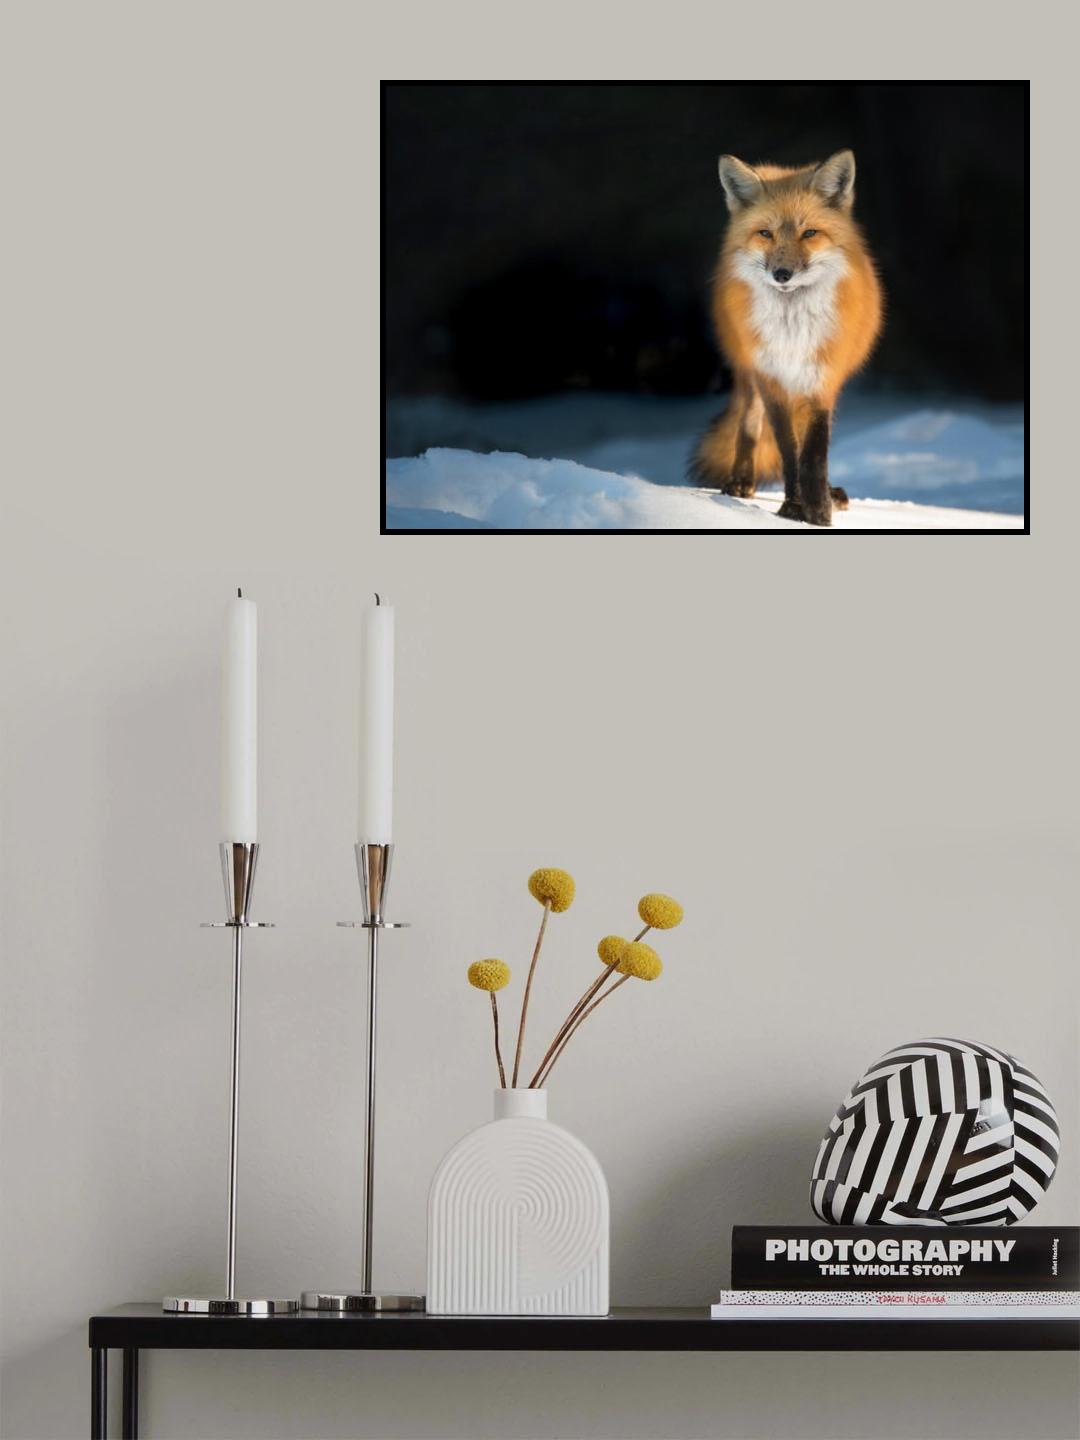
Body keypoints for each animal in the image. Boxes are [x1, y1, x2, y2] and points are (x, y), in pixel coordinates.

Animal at [690, 149, 883, 526]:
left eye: (810, 233)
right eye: (765, 233)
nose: (782, 274)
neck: (792, 330)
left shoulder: (821, 378)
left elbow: (814, 452)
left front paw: (818, 508)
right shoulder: (771, 379)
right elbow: (788, 449)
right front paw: (795, 506)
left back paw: (830, 493)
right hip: (749, 373)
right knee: (749, 423)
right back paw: (741, 480)